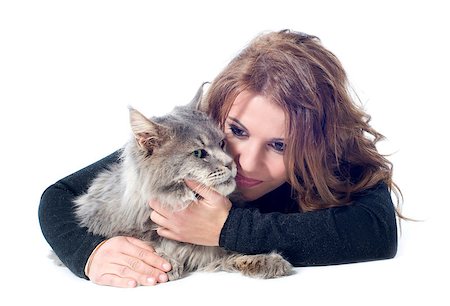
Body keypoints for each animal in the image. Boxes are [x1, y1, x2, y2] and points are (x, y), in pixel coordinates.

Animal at [72, 85, 294, 280]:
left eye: (222, 143)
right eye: (199, 154)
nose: (231, 163)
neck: (179, 200)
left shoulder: (211, 251)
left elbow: (231, 252)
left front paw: (267, 261)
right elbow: (139, 240)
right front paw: (167, 262)